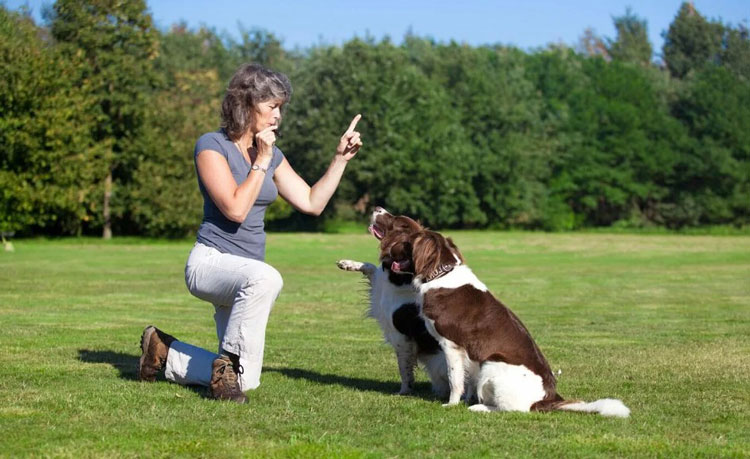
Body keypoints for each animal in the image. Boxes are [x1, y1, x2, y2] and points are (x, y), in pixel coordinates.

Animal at [338, 208, 450, 398]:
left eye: (395, 220)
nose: (377, 207)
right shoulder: (381, 288)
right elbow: (370, 267)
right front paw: (347, 264)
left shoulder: (401, 337)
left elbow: (404, 368)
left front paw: (404, 391)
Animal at [390, 230, 632, 416]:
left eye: (407, 242)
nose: (389, 248)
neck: (441, 274)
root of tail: (547, 398)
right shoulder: (469, 352)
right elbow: (469, 379)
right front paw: (466, 398)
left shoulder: (451, 345)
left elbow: (455, 378)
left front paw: (451, 403)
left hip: (493, 364)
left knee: (514, 409)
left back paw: (480, 408)